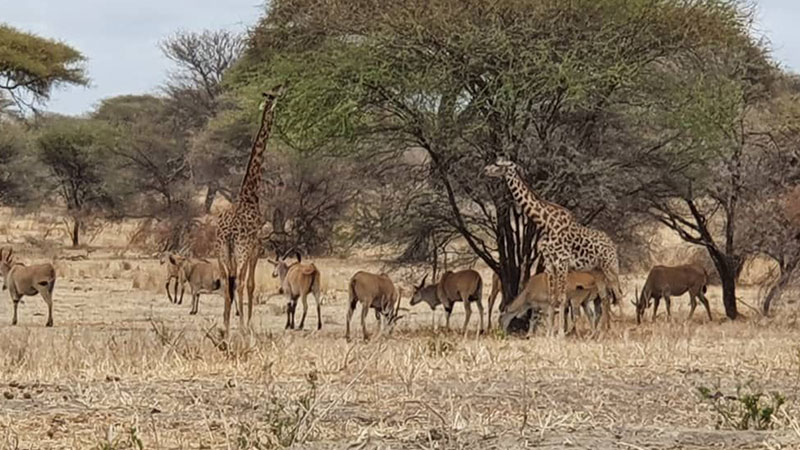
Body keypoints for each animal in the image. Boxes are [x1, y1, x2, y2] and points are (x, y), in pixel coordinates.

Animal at [216, 86, 284, 340]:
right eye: (275, 96)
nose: (282, 86)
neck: (249, 193)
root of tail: (227, 233)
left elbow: (240, 283)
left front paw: (234, 324)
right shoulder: (256, 245)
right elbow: (251, 284)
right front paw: (249, 325)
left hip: (222, 252)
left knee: (227, 282)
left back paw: (224, 328)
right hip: (241, 250)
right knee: (239, 282)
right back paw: (240, 327)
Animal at [484, 156, 620, 336]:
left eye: (498, 164)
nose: (485, 170)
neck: (545, 222)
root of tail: (612, 245)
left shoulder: (562, 261)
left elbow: (561, 298)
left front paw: (560, 333)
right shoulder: (550, 262)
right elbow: (551, 298)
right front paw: (550, 333)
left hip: (610, 267)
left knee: (618, 294)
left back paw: (617, 330)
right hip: (597, 271)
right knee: (605, 298)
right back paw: (601, 333)